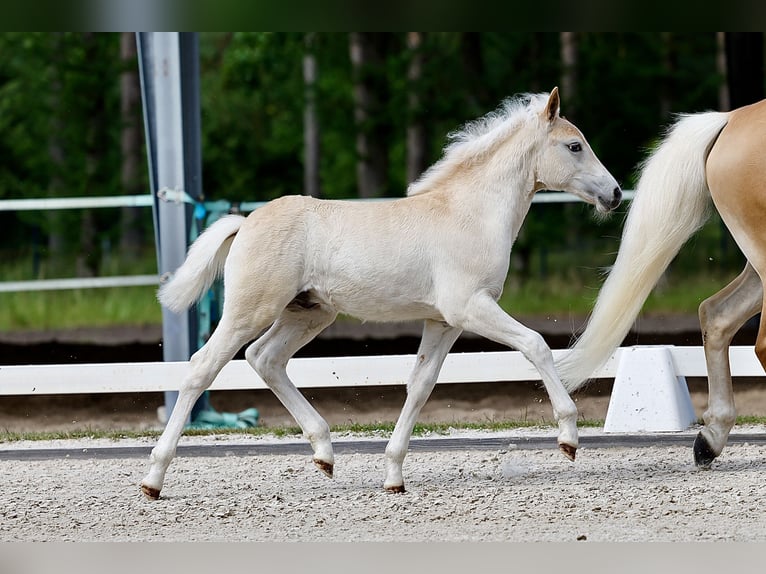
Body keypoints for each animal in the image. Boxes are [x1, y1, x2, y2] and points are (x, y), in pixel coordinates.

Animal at [140, 87, 622, 499]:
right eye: (574, 146)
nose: (615, 193)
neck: (470, 213)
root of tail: (246, 222)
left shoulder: (443, 321)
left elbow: (420, 385)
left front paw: (393, 475)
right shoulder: (470, 308)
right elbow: (536, 345)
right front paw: (568, 437)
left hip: (308, 312)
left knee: (265, 358)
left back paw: (324, 453)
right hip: (250, 310)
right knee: (202, 367)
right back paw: (153, 479)